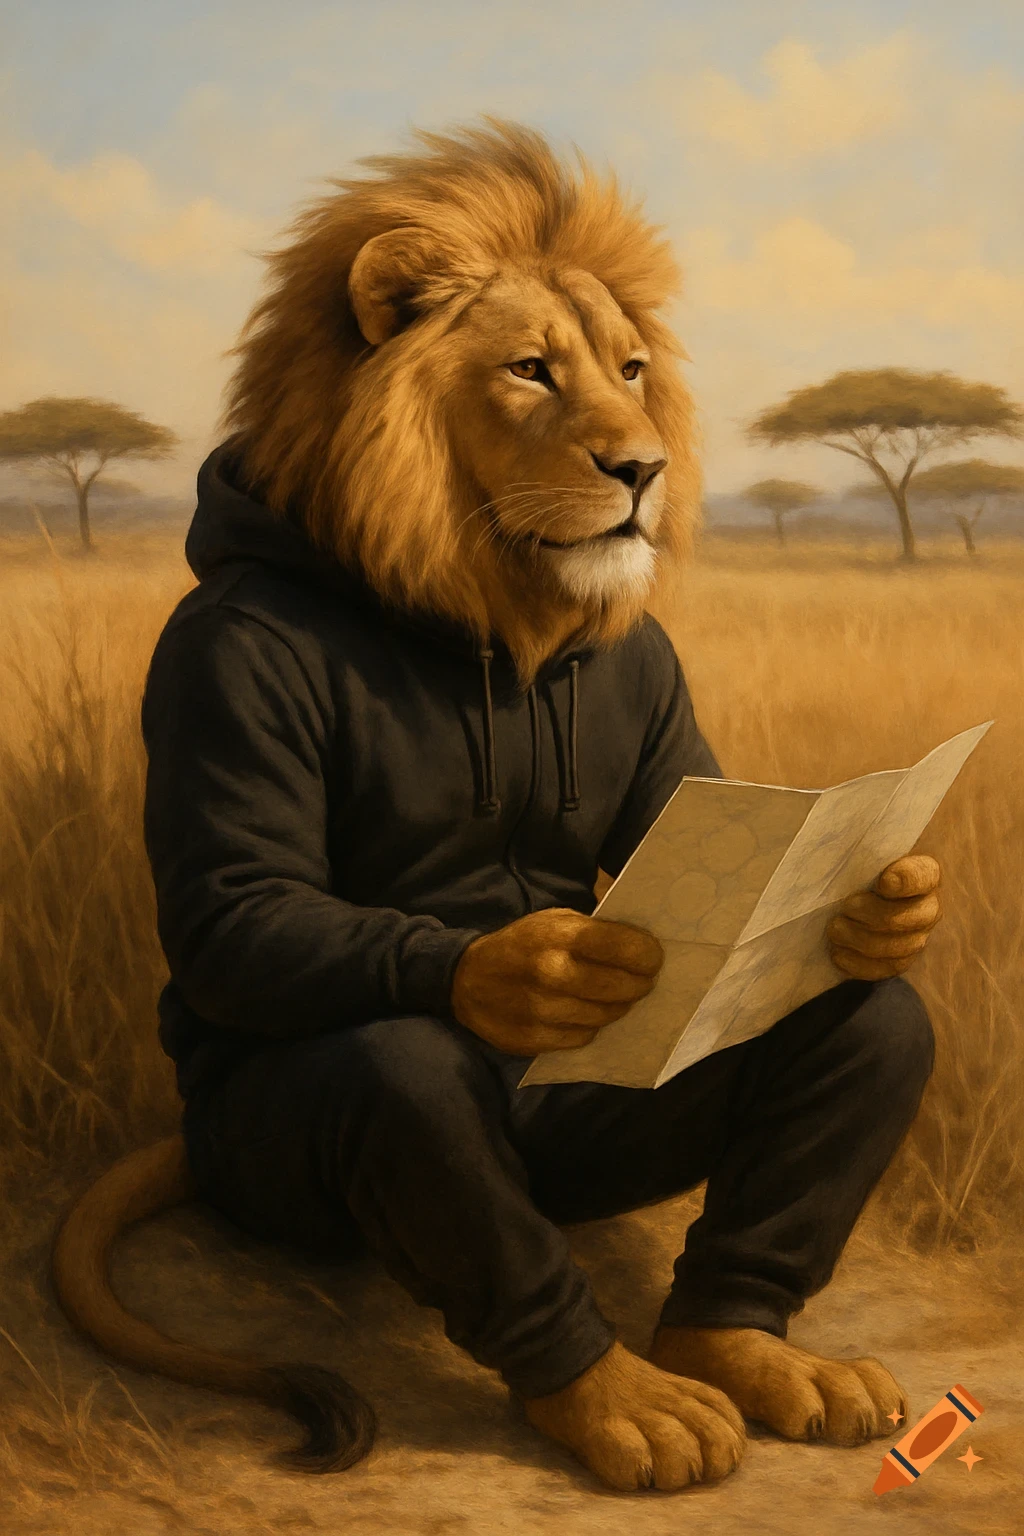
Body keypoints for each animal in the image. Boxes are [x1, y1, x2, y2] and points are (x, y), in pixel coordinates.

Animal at [54, 117, 940, 1493]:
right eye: (529, 371)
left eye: (630, 370)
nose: (643, 467)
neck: (488, 609)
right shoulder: (222, 657)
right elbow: (238, 901)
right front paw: (536, 972)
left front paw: (884, 908)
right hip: (268, 1163)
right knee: (397, 1071)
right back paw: (631, 1407)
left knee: (867, 1015)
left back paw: (747, 1351)